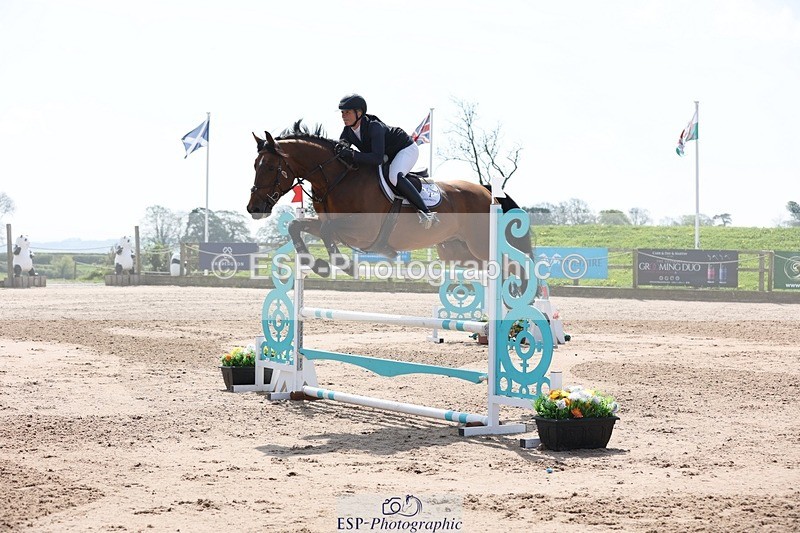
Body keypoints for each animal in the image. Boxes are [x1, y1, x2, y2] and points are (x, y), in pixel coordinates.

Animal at [246, 122, 531, 277]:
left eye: (270, 167)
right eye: (254, 165)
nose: (254, 208)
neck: (338, 178)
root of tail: (487, 192)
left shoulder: (363, 229)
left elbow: (327, 231)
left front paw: (343, 266)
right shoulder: (332, 224)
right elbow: (297, 226)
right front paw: (317, 265)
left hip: (480, 244)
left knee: (516, 267)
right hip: (459, 251)